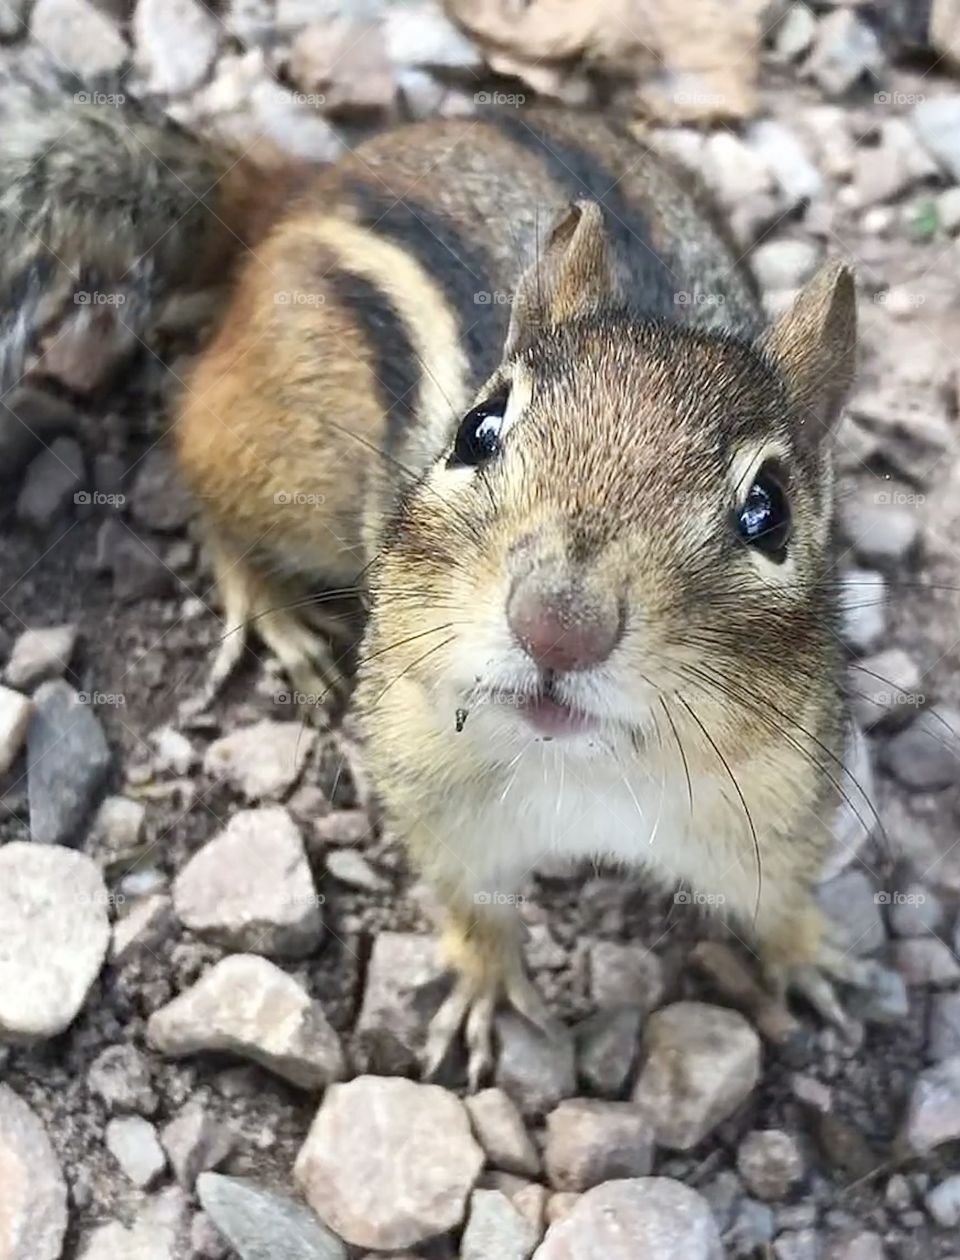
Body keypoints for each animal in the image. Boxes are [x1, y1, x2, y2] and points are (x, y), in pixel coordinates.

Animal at [6, 48, 873, 1085]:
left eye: (767, 511)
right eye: (479, 429)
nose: (559, 623)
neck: (585, 773)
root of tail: (294, 193)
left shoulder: (777, 804)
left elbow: (778, 898)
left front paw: (816, 959)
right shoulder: (431, 781)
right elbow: (466, 900)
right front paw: (486, 988)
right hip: (275, 461)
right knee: (199, 474)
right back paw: (274, 613)